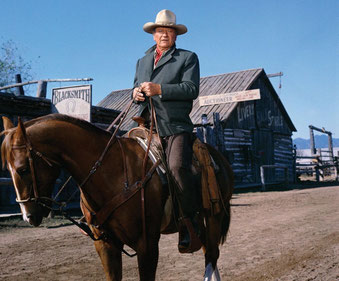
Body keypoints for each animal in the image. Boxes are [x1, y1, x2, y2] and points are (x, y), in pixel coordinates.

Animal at [0, 114, 234, 280]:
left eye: (22, 169)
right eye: (8, 169)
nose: (28, 216)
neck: (112, 173)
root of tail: (217, 155)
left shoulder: (147, 245)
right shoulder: (106, 245)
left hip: (214, 215)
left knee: (211, 255)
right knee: (208, 252)